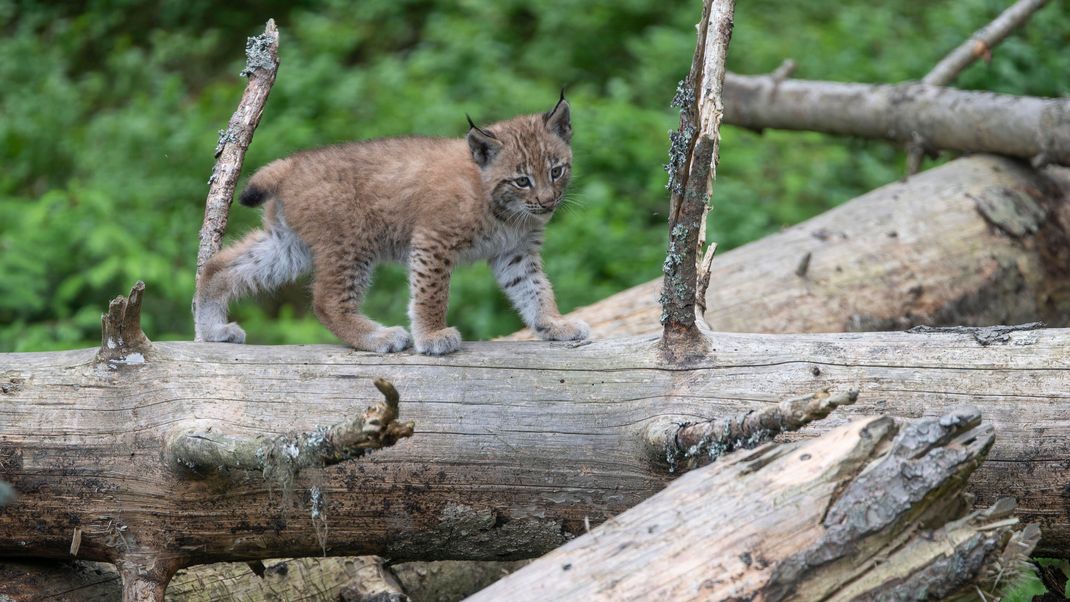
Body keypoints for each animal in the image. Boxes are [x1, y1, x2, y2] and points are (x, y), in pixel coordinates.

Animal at [196, 96, 590, 354]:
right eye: (522, 180)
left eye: (557, 171)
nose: (548, 202)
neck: (506, 211)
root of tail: (294, 162)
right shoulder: (433, 239)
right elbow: (431, 293)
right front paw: (432, 336)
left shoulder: (515, 253)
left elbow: (535, 290)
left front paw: (554, 324)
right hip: (351, 243)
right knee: (326, 302)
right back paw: (378, 338)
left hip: (288, 246)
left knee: (218, 267)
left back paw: (213, 330)